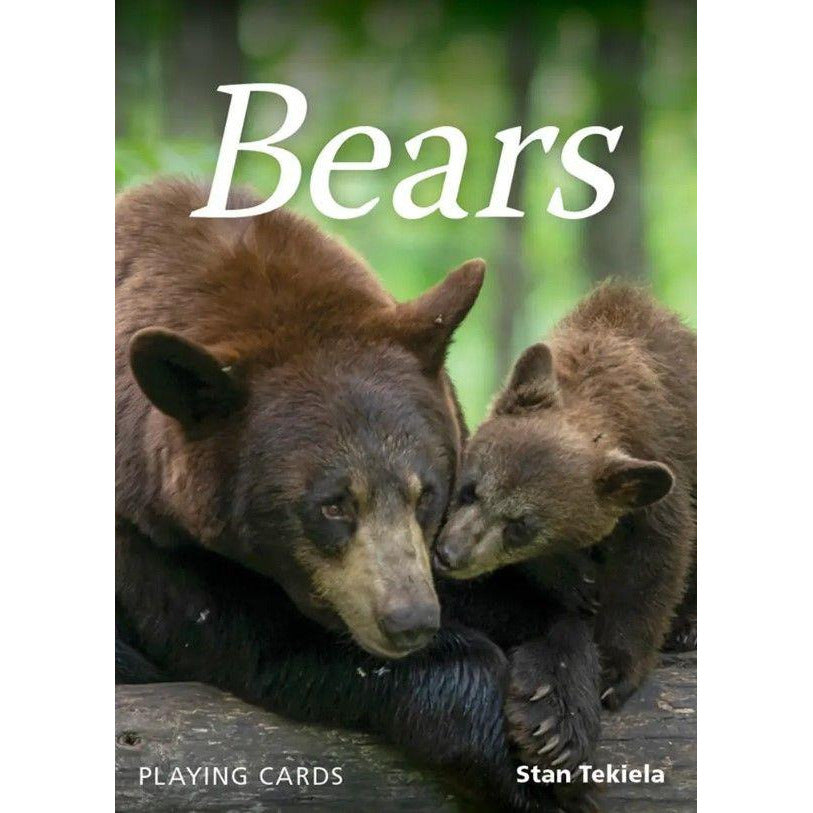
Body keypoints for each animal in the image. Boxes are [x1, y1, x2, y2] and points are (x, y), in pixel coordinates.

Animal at [115, 179, 573, 812]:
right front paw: (520, 768)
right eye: (331, 504)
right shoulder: (146, 538)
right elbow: (264, 638)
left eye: (425, 493)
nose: (411, 620)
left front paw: (557, 706)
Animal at [434, 281, 696, 772]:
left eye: (521, 524)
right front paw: (576, 586)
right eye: (470, 489)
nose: (449, 554)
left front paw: (612, 670)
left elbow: (654, 564)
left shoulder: (663, 473)